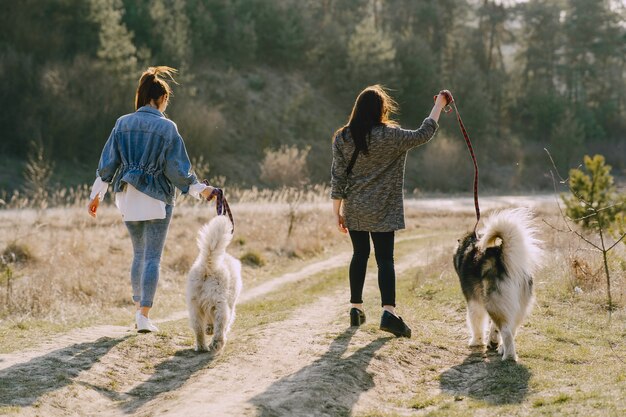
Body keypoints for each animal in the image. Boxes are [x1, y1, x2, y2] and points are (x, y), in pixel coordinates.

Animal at [185, 216, 241, 352]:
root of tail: (207, 266)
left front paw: (209, 329)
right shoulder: (231, 305)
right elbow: (227, 323)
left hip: (194, 306)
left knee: (198, 329)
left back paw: (201, 347)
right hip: (220, 304)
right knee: (221, 325)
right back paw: (217, 344)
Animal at [450, 208, 540, 360]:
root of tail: (504, 260)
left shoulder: (474, 302)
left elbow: (476, 322)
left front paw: (476, 341)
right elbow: (493, 327)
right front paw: (492, 341)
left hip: (493, 303)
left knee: (506, 331)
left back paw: (509, 356)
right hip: (516, 307)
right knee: (511, 329)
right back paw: (502, 348)